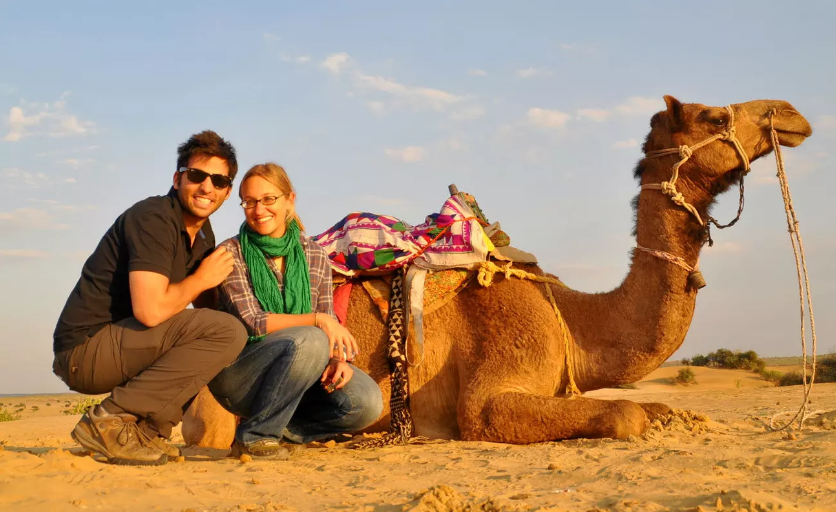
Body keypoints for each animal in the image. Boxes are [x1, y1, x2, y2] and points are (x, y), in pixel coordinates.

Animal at [181, 96, 808, 448]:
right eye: (716, 115)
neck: (571, 317)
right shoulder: (491, 391)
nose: (791, 113)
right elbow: (624, 413)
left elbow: (659, 409)